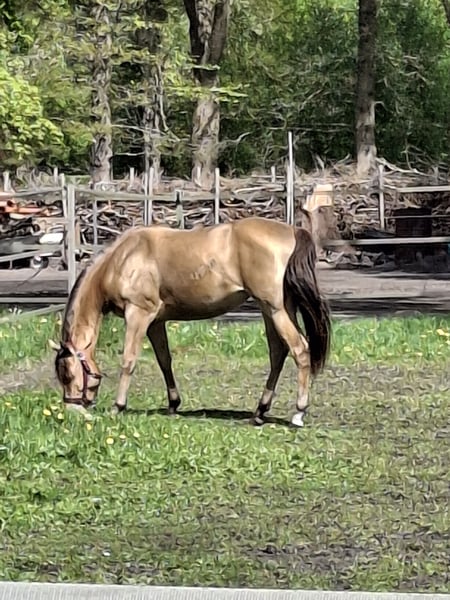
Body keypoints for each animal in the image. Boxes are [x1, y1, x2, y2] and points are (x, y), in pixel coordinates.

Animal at [50, 215, 331, 427]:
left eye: (67, 374)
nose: (72, 410)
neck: (123, 257)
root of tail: (292, 230)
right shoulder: (156, 322)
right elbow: (164, 360)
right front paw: (173, 404)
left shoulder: (138, 314)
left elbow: (128, 360)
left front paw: (118, 406)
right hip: (274, 309)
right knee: (278, 353)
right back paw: (260, 411)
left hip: (275, 309)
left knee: (299, 350)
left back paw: (298, 412)